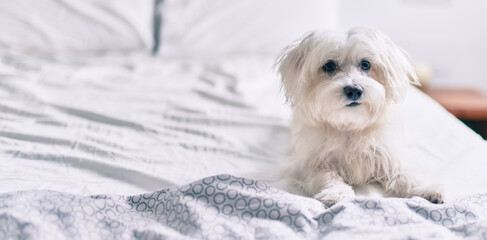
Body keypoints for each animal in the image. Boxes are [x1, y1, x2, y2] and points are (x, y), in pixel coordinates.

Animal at [276, 26, 444, 206]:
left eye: (365, 64)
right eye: (329, 66)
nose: (354, 90)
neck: (350, 125)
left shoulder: (388, 155)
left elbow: (405, 174)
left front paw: (427, 189)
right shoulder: (306, 164)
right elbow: (326, 175)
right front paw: (337, 193)